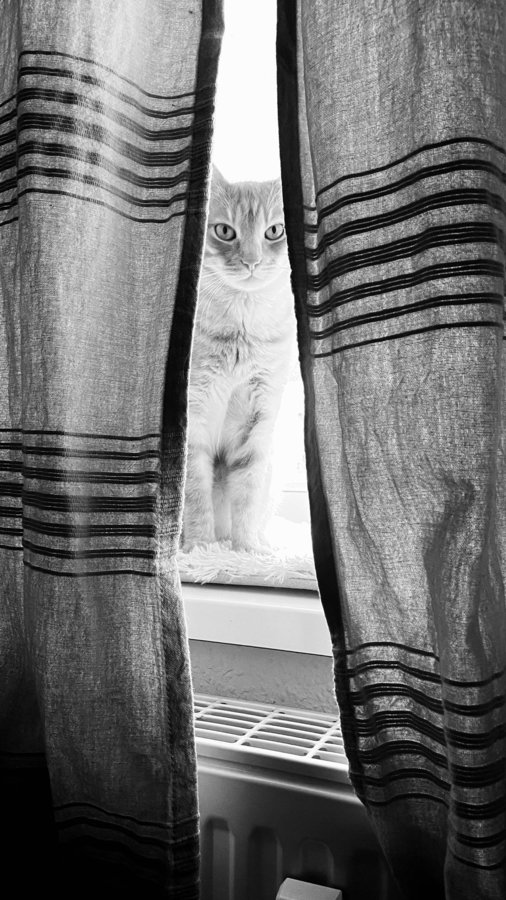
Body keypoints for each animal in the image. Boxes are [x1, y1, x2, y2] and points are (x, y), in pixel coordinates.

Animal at [182, 165, 296, 552]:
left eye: (274, 231)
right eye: (224, 231)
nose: (251, 261)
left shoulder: (257, 421)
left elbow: (247, 494)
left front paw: (247, 550)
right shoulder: (195, 419)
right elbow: (195, 494)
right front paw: (201, 547)